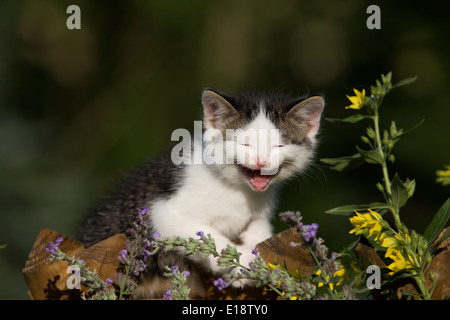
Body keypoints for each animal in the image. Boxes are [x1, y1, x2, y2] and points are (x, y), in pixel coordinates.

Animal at [78, 89, 324, 298]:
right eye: (244, 144)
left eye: (279, 146)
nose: (261, 161)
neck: (238, 190)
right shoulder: (163, 212)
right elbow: (205, 235)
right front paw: (239, 264)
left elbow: (261, 230)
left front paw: (254, 250)